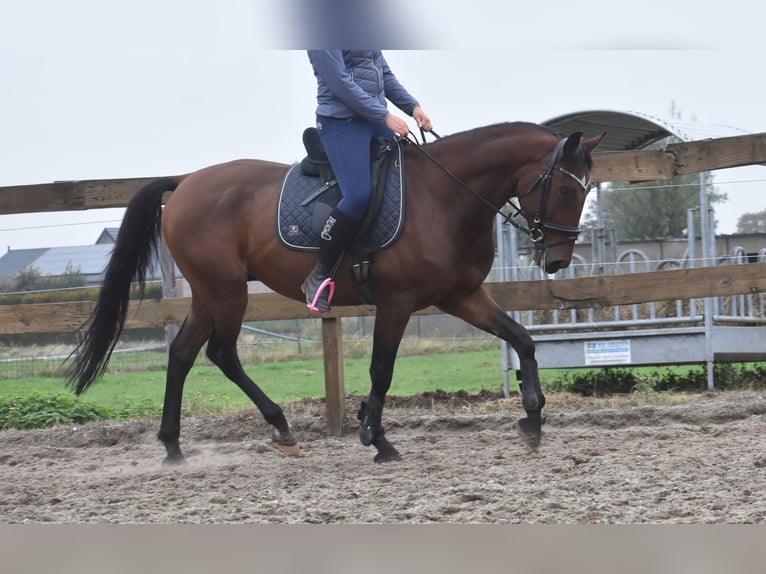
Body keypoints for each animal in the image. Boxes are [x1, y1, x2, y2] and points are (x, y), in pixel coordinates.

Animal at [66, 121, 605, 464]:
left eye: (584, 190)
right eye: (564, 190)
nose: (557, 260)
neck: (444, 198)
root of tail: (185, 183)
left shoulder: (462, 296)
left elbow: (522, 339)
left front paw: (533, 421)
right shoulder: (396, 302)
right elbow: (382, 370)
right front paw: (375, 437)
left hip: (208, 292)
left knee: (180, 353)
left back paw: (174, 447)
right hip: (226, 292)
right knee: (221, 353)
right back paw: (280, 426)